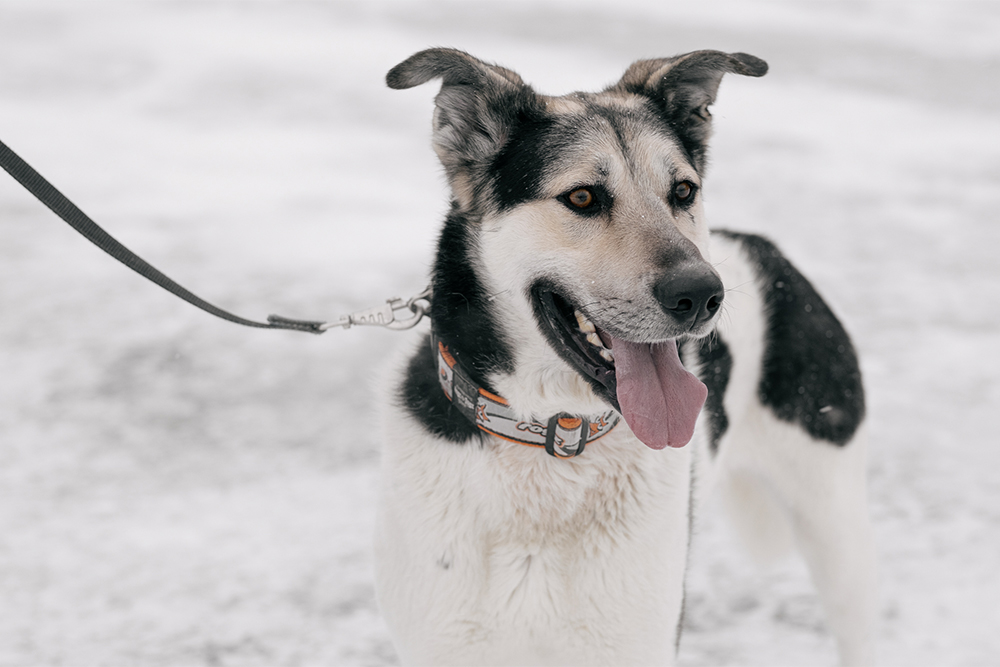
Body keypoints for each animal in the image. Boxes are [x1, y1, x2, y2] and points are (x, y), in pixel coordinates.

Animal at [370, 48, 876, 667]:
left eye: (682, 192)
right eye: (583, 197)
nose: (701, 294)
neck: (553, 435)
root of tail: (765, 248)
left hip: (837, 526)